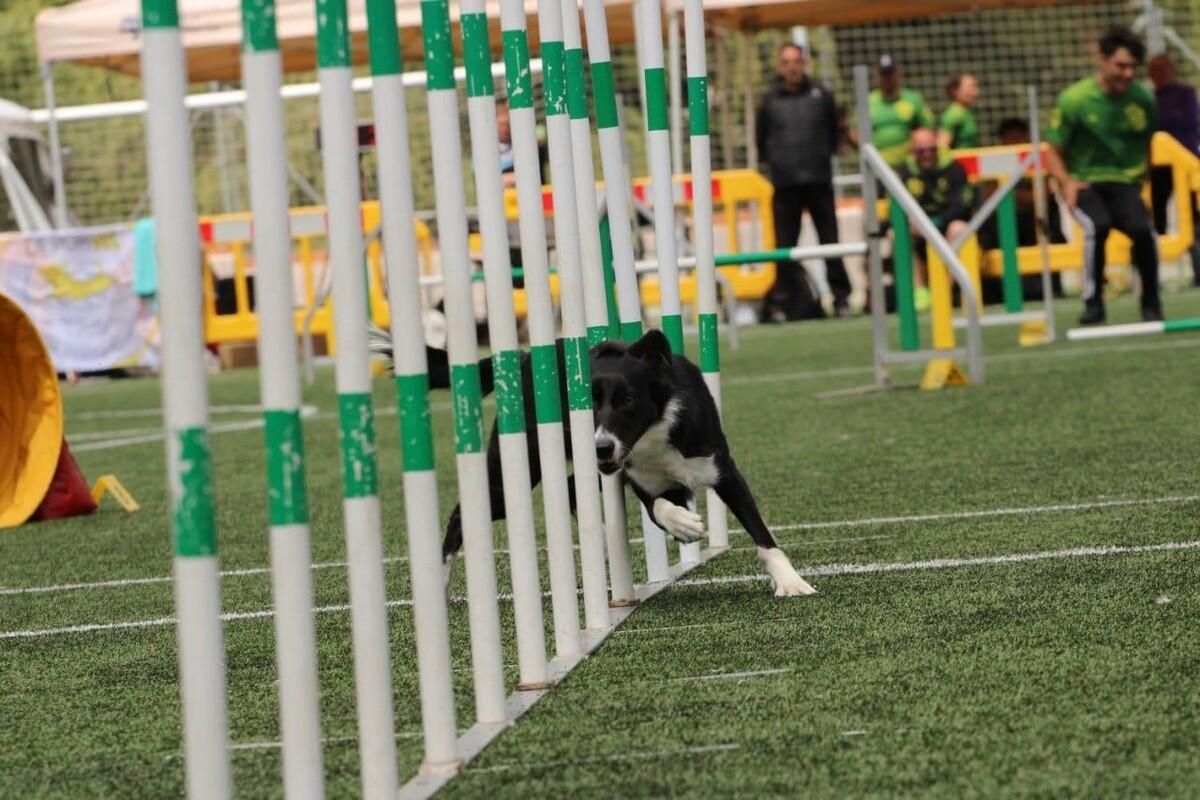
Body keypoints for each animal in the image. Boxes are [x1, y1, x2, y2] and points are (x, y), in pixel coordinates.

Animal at [388, 328, 820, 597]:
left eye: (628, 400)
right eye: (587, 404)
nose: (601, 447)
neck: (652, 433)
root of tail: (525, 358)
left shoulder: (722, 469)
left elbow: (761, 532)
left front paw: (792, 583)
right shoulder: (640, 480)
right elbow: (660, 507)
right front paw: (685, 526)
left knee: (572, 492)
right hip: (518, 469)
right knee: (463, 514)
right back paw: (441, 581)